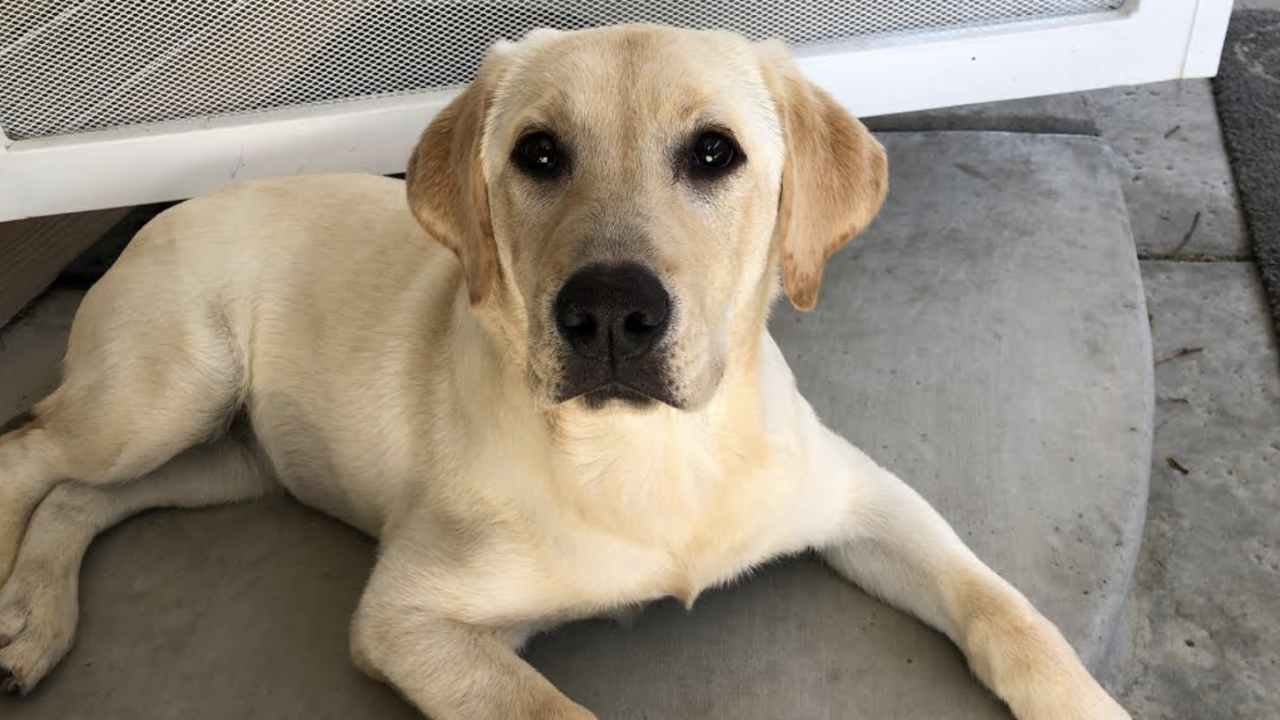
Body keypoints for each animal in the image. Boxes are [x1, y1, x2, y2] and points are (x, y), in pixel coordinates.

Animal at [0, 25, 1126, 717]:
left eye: (714, 153)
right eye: (538, 154)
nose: (610, 315)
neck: (656, 457)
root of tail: (169, 210)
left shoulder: (867, 496)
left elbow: (1006, 612)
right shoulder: (408, 617)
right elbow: (548, 707)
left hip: (227, 459)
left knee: (81, 499)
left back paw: (31, 618)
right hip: (161, 396)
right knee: (30, 454)